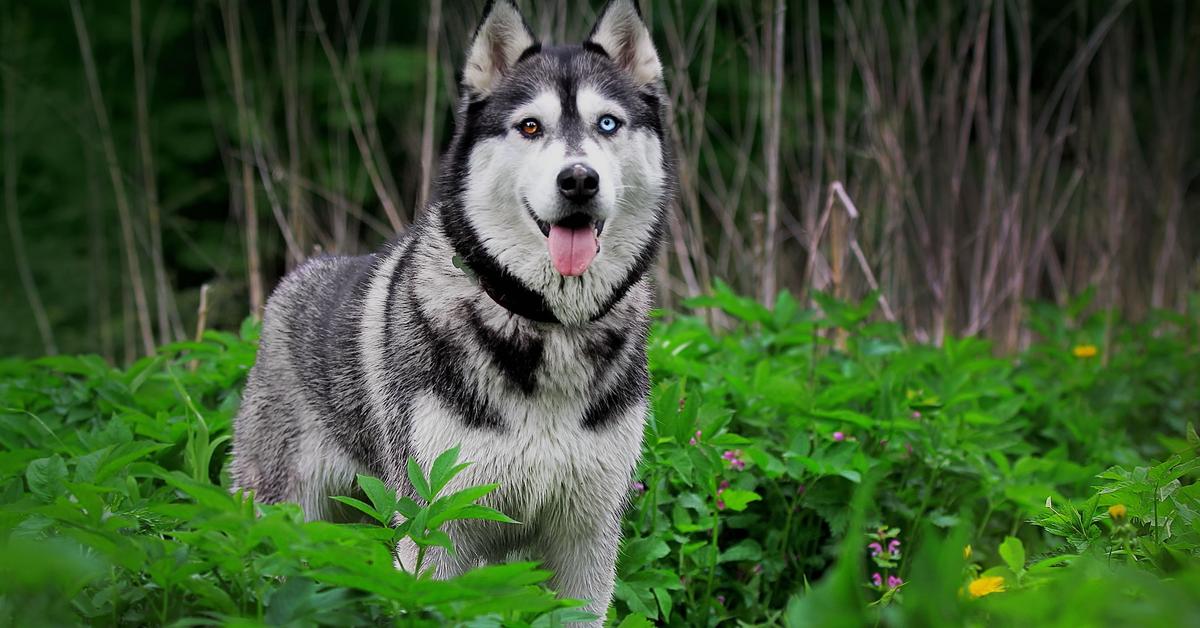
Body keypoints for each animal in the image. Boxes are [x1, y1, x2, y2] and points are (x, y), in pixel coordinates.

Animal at [229, 0, 672, 619]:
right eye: (530, 126)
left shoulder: (586, 537)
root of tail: (290, 283)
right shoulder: (435, 527)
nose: (579, 179)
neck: (547, 325)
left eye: (607, 123)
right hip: (284, 514)